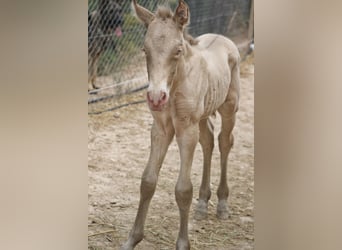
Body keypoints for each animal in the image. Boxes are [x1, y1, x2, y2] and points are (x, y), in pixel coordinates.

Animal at [122, 0, 240, 249]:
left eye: (177, 50)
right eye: (145, 50)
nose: (156, 98)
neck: (176, 85)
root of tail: (224, 39)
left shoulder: (186, 130)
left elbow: (183, 190)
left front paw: (183, 243)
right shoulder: (161, 129)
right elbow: (147, 181)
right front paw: (131, 240)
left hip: (229, 108)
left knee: (225, 141)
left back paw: (222, 203)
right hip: (202, 116)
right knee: (208, 141)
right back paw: (203, 203)